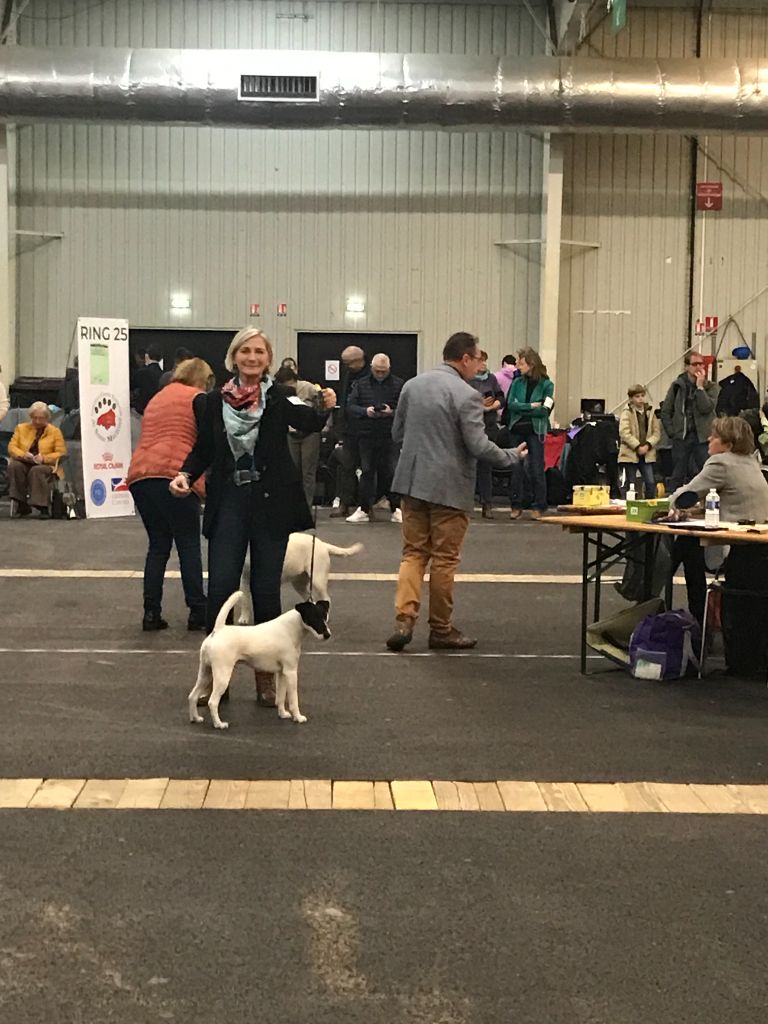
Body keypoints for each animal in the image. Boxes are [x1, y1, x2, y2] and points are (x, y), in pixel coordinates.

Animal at [188, 589, 331, 733]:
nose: (327, 635)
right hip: (222, 675)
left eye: (325, 616)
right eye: (313, 618)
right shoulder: (291, 672)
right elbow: (293, 700)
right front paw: (298, 717)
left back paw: (195, 718)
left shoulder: (282, 673)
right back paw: (219, 724)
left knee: (193, 695)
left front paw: (282, 714)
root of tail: (218, 630)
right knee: (212, 702)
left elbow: (280, 697)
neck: (290, 628)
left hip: (205, 673)